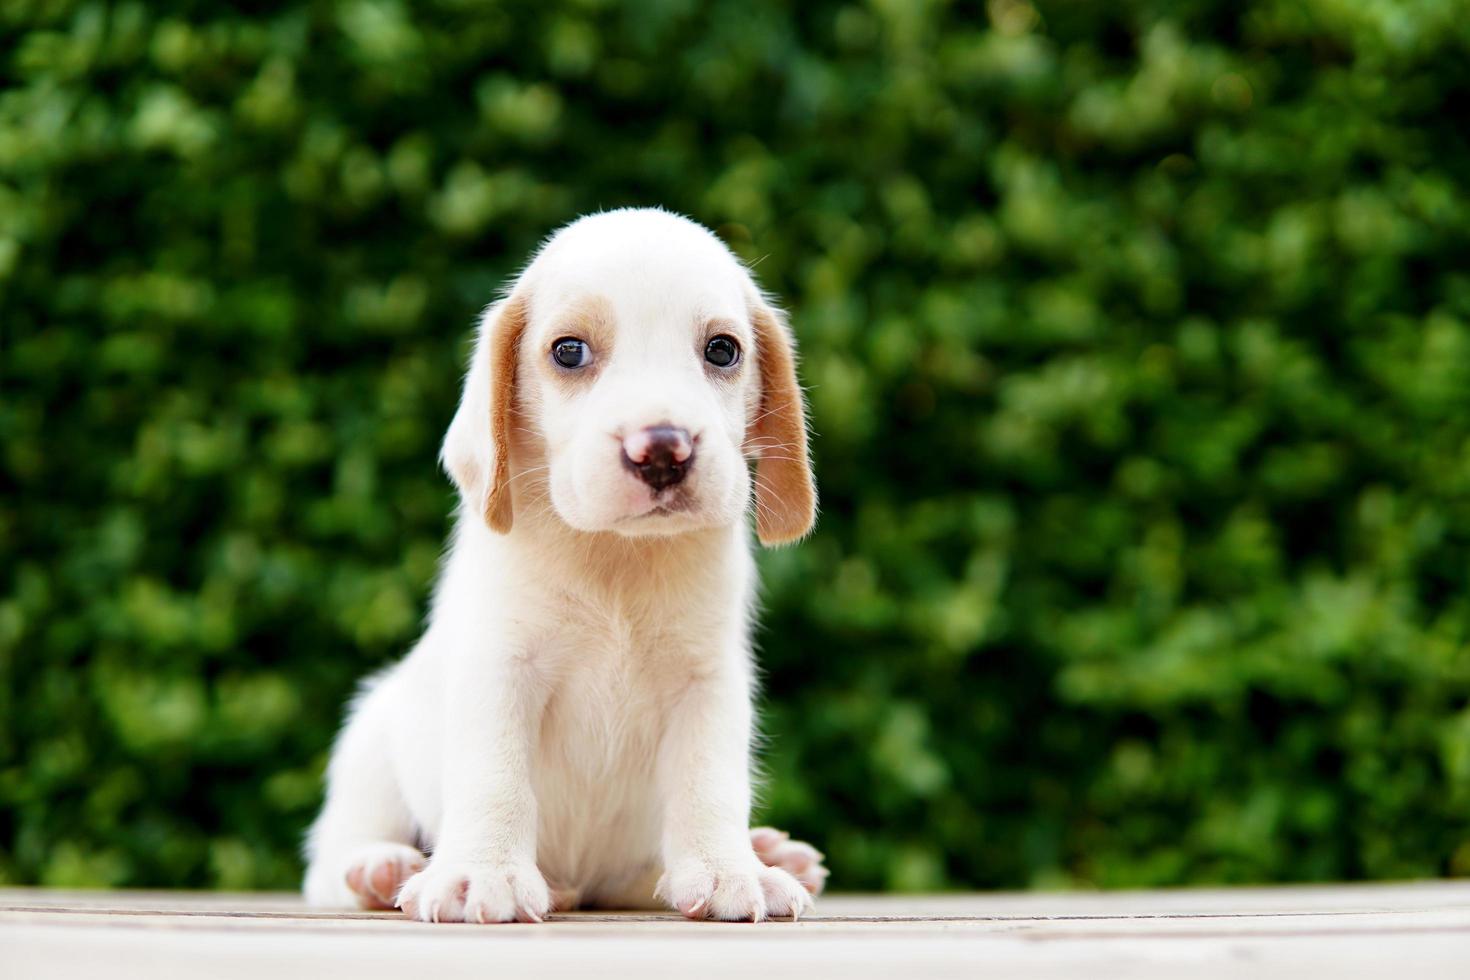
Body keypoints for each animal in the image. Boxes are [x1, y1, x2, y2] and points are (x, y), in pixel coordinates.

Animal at [301, 208, 829, 928]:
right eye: (569, 351)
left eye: (723, 350)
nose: (662, 450)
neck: (615, 559)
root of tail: (579, 885)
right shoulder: (499, 672)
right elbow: (494, 778)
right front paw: (482, 873)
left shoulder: (709, 683)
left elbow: (710, 784)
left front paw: (730, 869)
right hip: (370, 742)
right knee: (331, 862)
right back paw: (380, 869)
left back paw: (770, 852)